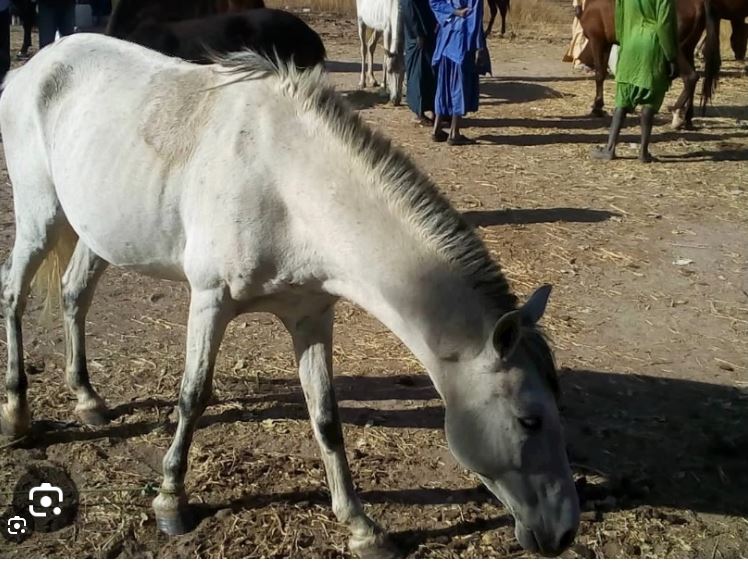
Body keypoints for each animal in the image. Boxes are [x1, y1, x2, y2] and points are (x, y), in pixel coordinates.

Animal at [0, 35, 580, 560]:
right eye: (529, 419)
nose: (564, 531)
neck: (285, 184)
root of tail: (33, 67)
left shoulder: (312, 317)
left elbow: (326, 416)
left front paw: (361, 527)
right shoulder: (209, 301)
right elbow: (193, 396)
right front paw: (171, 502)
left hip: (96, 232)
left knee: (75, 295)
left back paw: (87, 400)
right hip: (40, 218)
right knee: (13, 296)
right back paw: (18, 415)